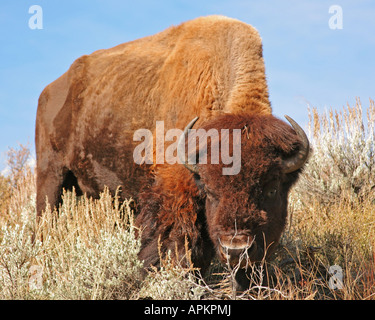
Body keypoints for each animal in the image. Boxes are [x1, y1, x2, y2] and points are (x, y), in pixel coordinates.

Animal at [36, 15, 310, 290]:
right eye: (211, 191)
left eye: (272, 189)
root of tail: (48, 91)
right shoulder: (174, 192)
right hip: (50, 175)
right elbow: (176, 244)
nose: (235, 249)